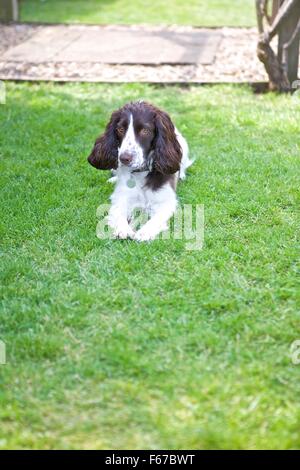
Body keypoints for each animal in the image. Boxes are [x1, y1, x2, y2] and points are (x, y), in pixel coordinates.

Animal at [86, 100, 192, 241]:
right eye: (120, 129)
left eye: (145, 131)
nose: (124, 158)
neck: (140, 173)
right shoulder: (121, 196)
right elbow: (119, 211)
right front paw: (123, 229)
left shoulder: (166, 200)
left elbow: (157, 218)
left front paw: (145, 231)